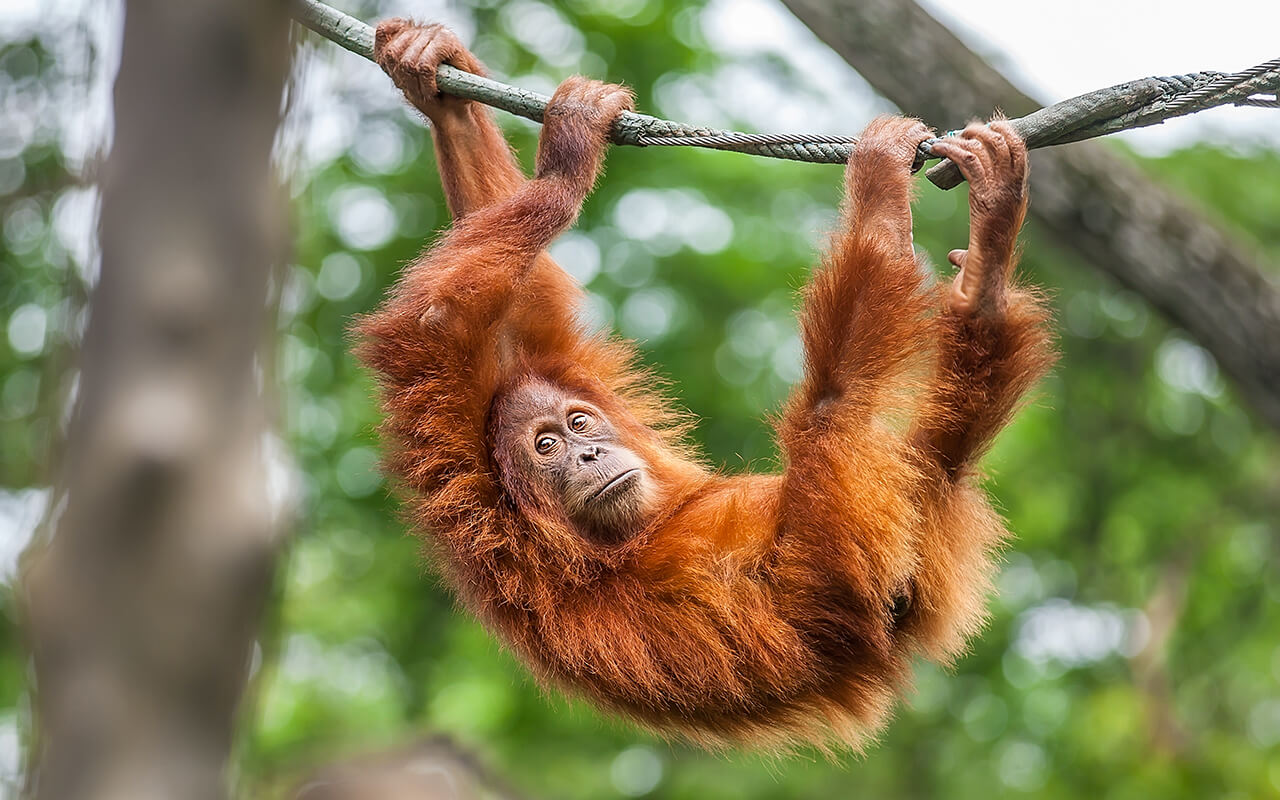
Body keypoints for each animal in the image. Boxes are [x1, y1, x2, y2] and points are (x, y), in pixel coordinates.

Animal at [355, 19, 1054, 750]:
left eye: (578, 424)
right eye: (545, 448)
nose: (588, 453)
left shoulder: (539, 371)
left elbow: (519, 313)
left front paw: (434, 81)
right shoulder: (475, 500)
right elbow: (434, 322)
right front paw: (567, 158)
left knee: (940, 457)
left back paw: (987, 261)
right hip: (849, 535)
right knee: (836, 404)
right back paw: (883, 192)